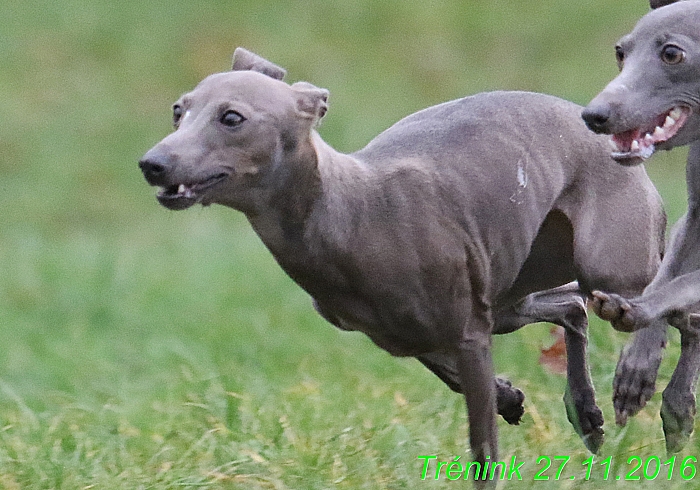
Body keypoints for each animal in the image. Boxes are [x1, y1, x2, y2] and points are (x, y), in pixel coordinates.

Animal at [138, 49, 668, 474]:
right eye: (178, 111)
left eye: (231, 118)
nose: (152, 164)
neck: (350, 212)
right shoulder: (412, 330)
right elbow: (444, 368)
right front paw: (511, 397)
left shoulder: (470, 334)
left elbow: (482, 444)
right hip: (515, 291)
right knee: (572, 307)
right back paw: (587, 414)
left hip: (608, 264)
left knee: (655, 301)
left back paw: (636, 379)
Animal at [584, 0, 700, 454]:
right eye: (621, 52)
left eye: (672, 54)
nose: (594, 115)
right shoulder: (695, 216)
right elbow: (667, 279)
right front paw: (638, 364)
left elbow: (681, 285)